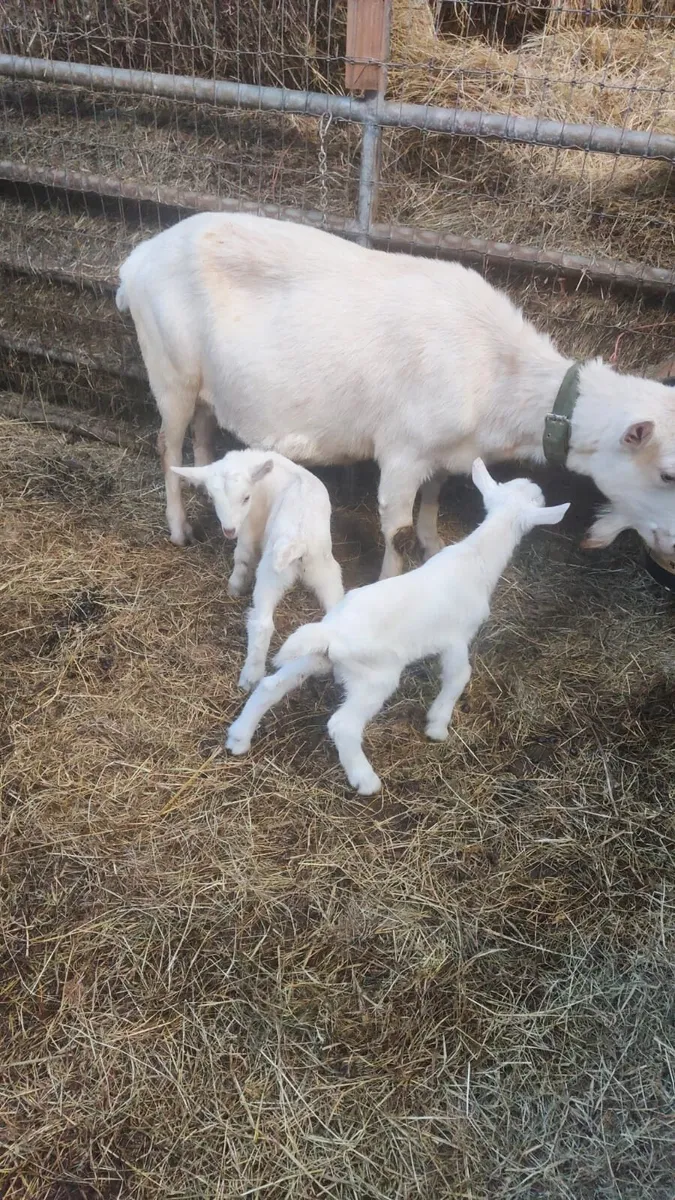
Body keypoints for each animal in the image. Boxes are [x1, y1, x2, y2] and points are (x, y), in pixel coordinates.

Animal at [117, 212, 675, 576]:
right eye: (668, 473)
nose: (670, 551)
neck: (497, 368)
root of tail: (137, 259)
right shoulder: (403, 452)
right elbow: (397, 531)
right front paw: (390, 578)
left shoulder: (444, 449)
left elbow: (437, 494)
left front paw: (434, 541)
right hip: (168, 368)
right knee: (167, 443)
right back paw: (179, 527)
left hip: (207, 382)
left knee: (203, 431)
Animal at [174, 450, 343, 689]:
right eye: (213, 499)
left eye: (246, 498)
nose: (228, 530)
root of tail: (298, 542)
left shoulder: (249, 524)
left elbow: (243, 556)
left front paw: (234, 588)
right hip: (326, 570)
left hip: (271, 571)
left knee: (262, 622)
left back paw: (250, 676)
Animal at [225, 459, 569, 794]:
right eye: (537, 500)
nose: (538, 486)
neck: (476, 558)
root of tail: (331, 633)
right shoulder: (456, 637)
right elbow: (459, 676)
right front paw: (437, 726)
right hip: (376, 677)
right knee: (342, 725)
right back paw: (366, 781)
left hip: (315, 657)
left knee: (270, 686)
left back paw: (238, 738)